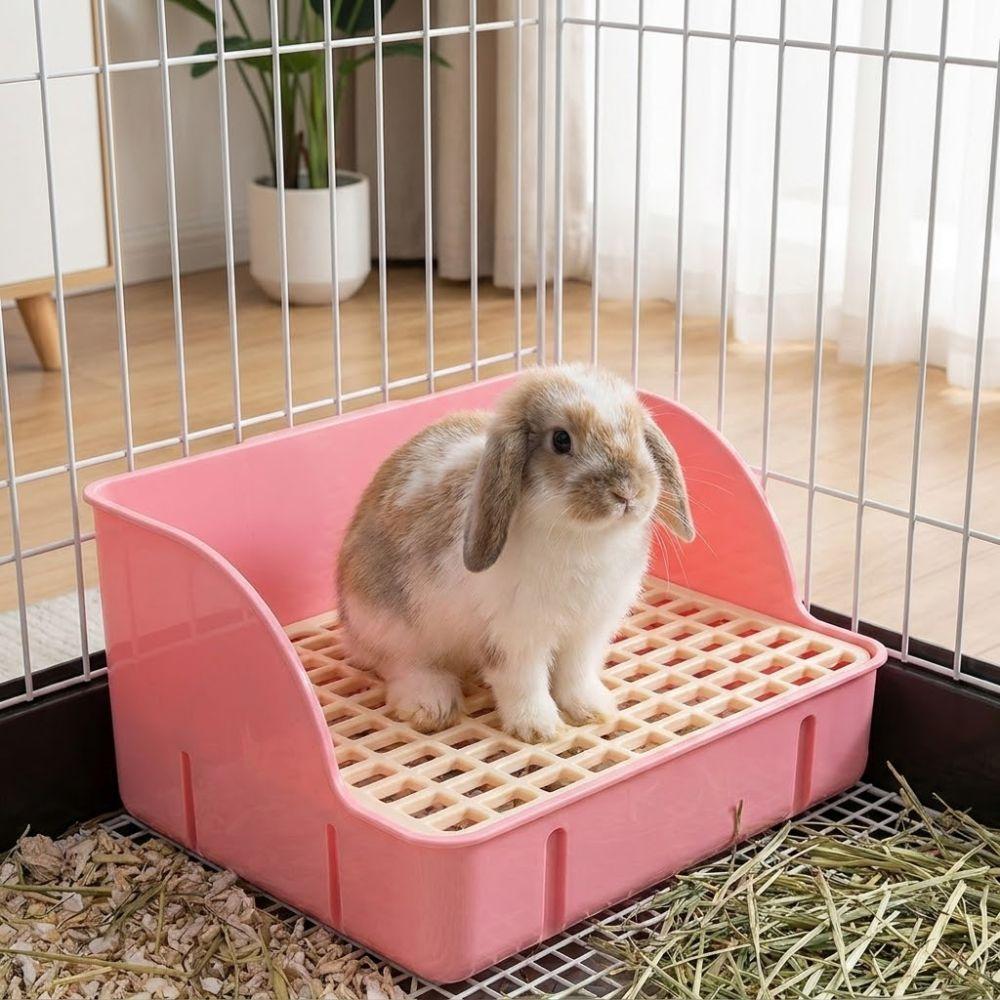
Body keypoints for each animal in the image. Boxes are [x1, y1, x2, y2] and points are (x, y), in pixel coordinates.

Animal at [336, 365, 694, 743]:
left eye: (637, 433)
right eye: (561, 440)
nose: (627, 492)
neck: (584, 536)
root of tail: (350, 625)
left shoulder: (588, 631)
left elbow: (576, 674)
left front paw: (593, 710)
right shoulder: (514, 637)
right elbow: (524, 682)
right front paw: (540, 729)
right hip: (393, 625)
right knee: (400, 665)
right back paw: (431, 706)